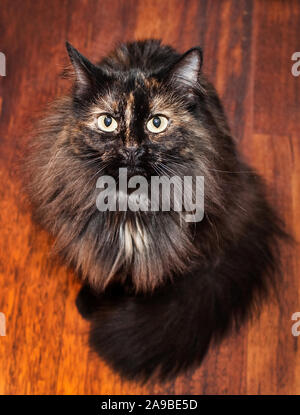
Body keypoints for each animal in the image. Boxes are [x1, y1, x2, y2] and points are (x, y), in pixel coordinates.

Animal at [27, 39, 286, 384]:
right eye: (108, 122)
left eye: (156, 123)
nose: (132, 148)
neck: (128, 205)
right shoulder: (94, 238)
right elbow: (106, 267)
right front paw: (90, 299)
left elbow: (132, 277)